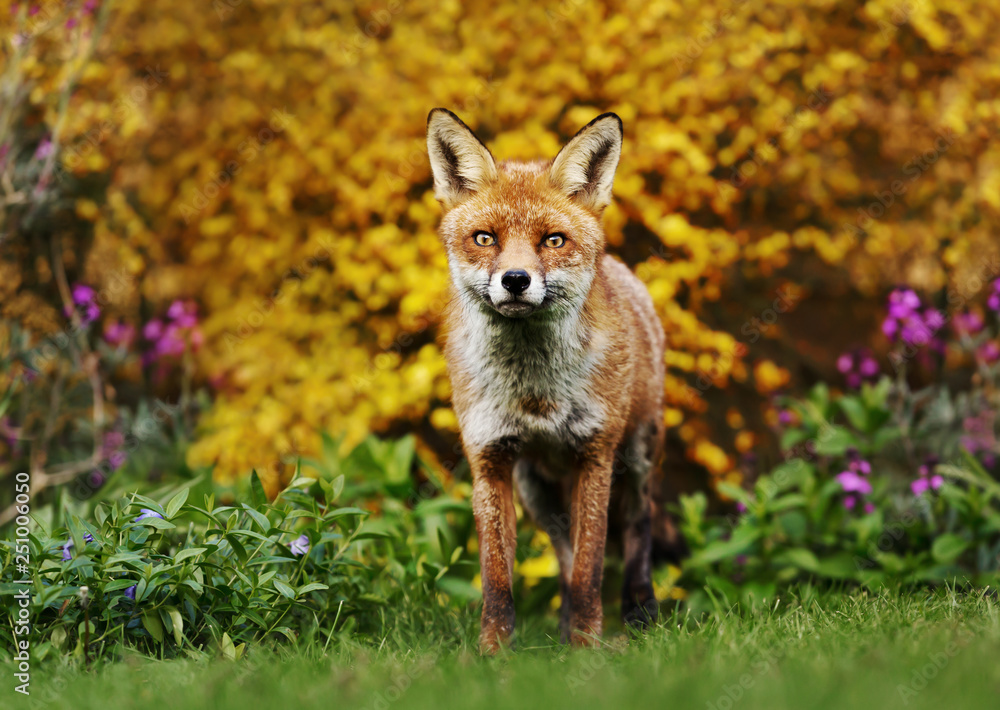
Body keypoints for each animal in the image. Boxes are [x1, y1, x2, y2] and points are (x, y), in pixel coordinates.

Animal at [426, 108, 677, 652]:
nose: (516, 279)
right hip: (538, 491)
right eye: (485, 238)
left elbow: (589, 570)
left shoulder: (595, 456)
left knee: (638, 528)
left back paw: (639, 616)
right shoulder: (490, 460)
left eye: (553, 240)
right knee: (562, 553)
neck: (535, 392)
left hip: (637, 457)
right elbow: (498, 577)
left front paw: (587, 647)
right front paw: (493, 652)